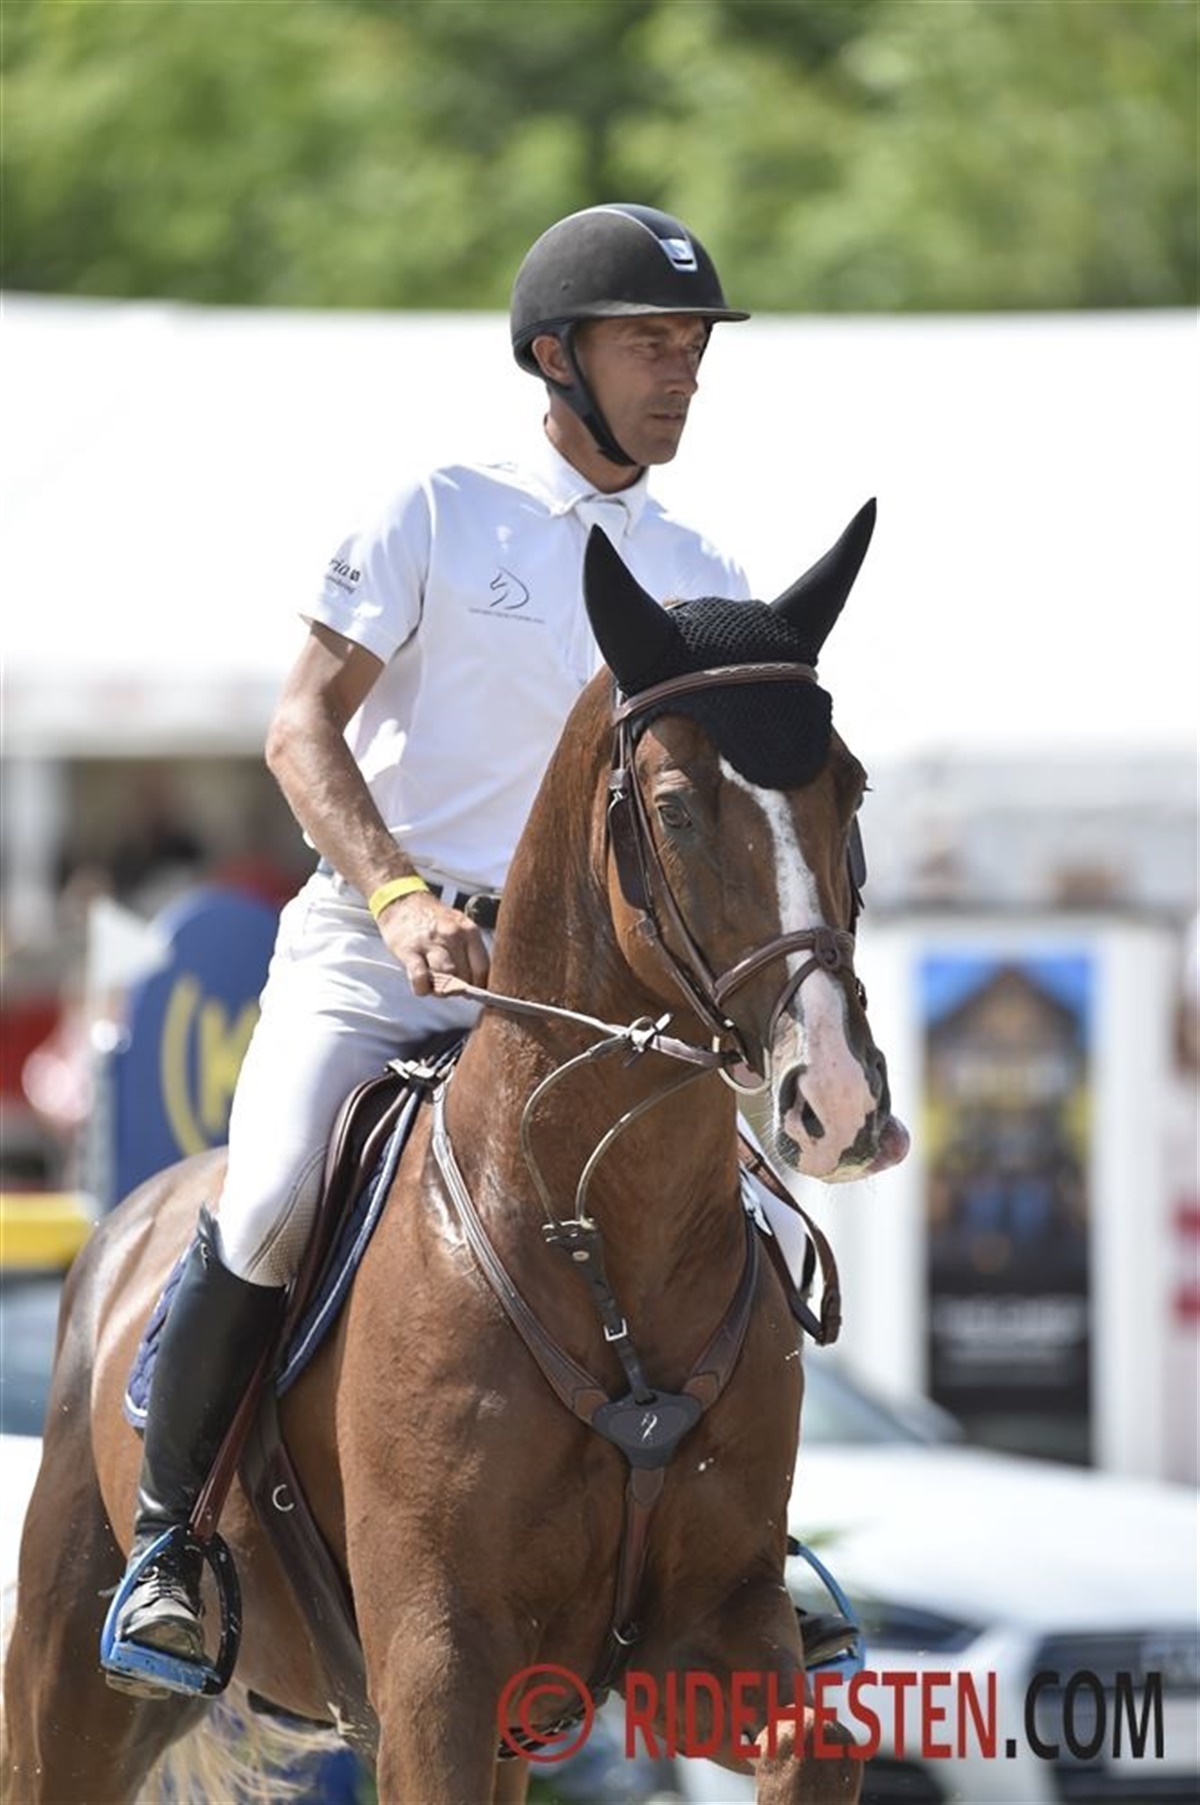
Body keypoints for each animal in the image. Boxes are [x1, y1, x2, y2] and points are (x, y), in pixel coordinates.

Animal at [3, 500, 908, 1805]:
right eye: (676, 805)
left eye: (853, 785)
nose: (833, 1098)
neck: (593, 1226)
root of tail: (125, 1225)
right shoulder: (438, 1661)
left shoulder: (709, 1622)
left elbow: (819, 1740)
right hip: (70, 1671)